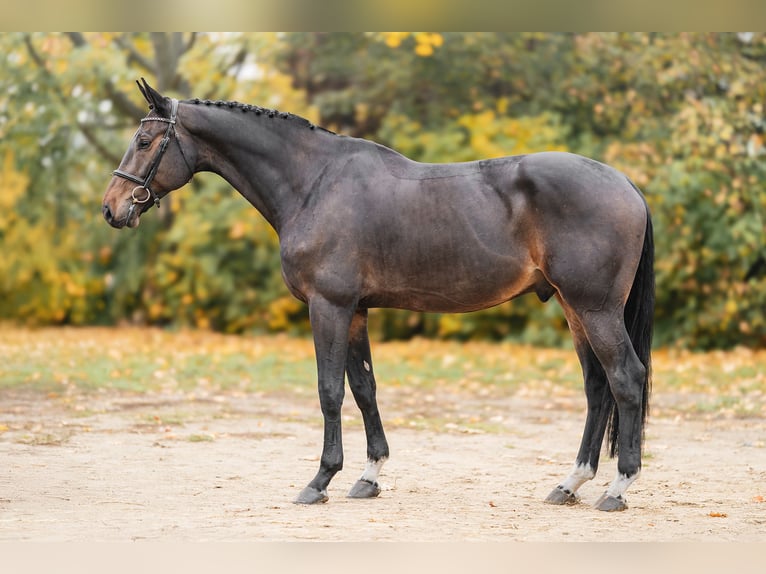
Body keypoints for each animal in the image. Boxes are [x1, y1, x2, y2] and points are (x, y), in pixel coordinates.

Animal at [103, 79, 654, 512]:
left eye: (146, 140)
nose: (111, 208)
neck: (314, 182)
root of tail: (625, 183)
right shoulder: (356, 312)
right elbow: (364, 388)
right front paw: (369, 477)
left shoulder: (328, 306)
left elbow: (329, 390)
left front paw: (320, 480)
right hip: (573, 308)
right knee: (597, 387)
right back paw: (571, 483)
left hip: (594, 308)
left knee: (626, 378)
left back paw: (617, 487)